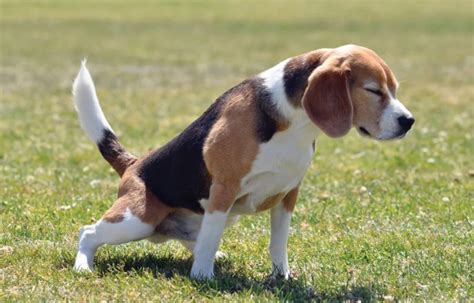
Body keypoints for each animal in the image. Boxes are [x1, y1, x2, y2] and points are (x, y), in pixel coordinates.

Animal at [71, 45, 414, 280]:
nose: (408, 121)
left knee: (193, 236)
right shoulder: (224, 187)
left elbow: (278, 242)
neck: (295, 123)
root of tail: (134, 164)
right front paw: (202, 277)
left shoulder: (288, 193)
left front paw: (281, 276)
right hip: (137, 219)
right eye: (373, 90)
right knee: (88, 232)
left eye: (395, 89)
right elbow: (210, 238)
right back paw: (83, 266)